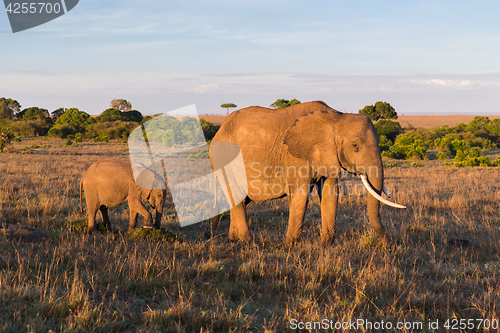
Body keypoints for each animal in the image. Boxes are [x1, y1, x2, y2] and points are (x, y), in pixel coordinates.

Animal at [209, 100, 404, 245]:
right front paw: (290, 246)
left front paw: (326, 245)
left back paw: (234, 240)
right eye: (355, 146)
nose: (389, 244)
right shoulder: (296, 156)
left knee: (241, 200)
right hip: (223, 158)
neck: (336, 117)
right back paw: (248, 243)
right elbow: (301, 196)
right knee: (238, 198)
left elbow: (330, 194)